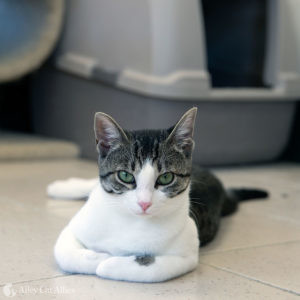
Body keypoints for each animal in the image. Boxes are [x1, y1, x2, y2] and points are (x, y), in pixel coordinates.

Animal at [51, 108, 268, 284]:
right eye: (125, 176)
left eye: (166, 177)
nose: (144, 203)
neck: (130, 221)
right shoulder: (77, 226)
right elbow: (63, 251)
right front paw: (99, 257)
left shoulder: (187, 253)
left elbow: (153, 270)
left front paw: (109, 262)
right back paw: (60, 187)